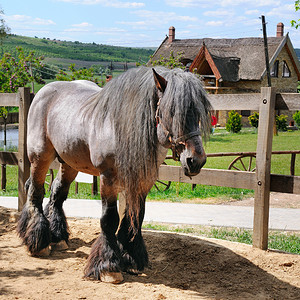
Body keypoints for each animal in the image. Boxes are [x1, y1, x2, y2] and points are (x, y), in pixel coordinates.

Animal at [15, 66, 211, 284]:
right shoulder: (108, 177)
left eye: (199, 112)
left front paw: (131, 258)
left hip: (69, 162)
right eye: (172, 112)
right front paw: (108, 266)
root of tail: (43, 92)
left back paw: (57, 237)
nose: (196, 161)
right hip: (40, 156)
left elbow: (135, 217)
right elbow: (109, 219)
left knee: (57, 193)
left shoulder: (143, 180)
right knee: (35, 192)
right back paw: (37, 242)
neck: (122, 128)